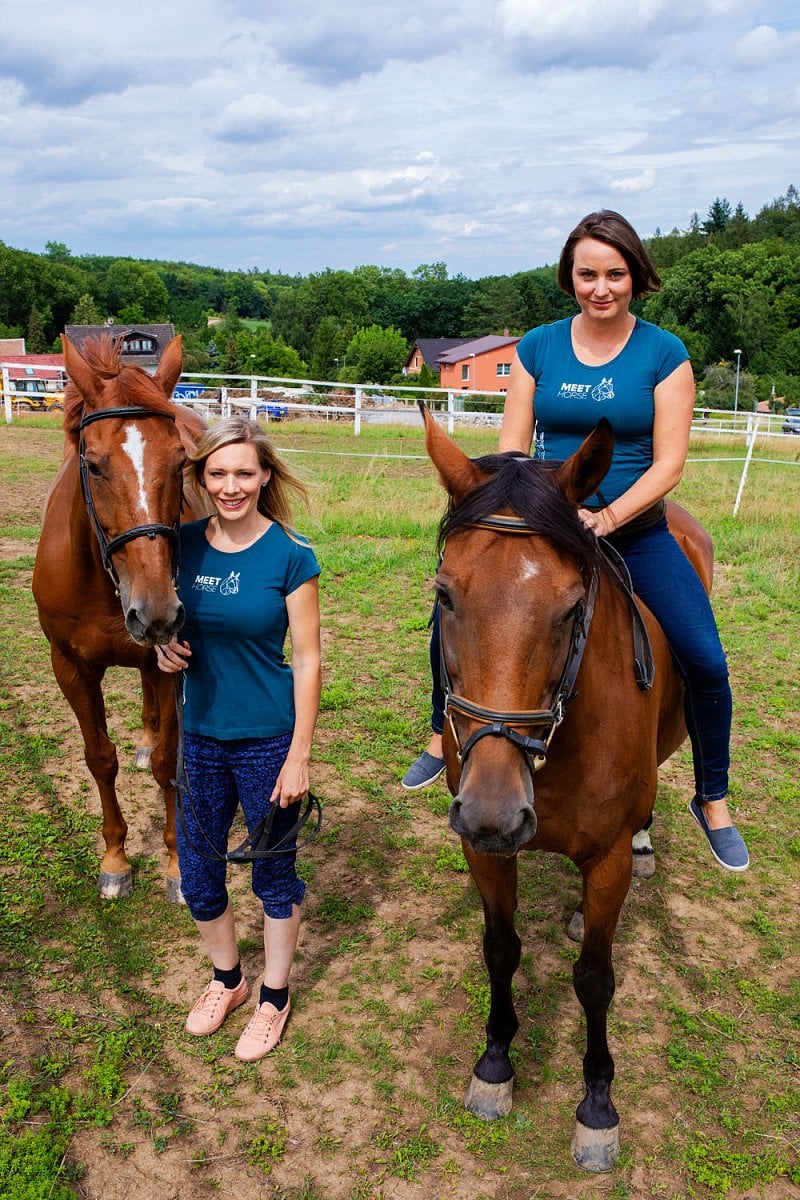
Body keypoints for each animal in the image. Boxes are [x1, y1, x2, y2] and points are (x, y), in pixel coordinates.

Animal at [32, 336, 208, 902]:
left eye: (180, 462)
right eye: (92, 465)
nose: (156, 613)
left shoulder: (166, 659)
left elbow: (168, 763)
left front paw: (176, 866)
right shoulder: (69, 667)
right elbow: (99, 758)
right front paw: (115, 859)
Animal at [422, 403, 714, 1171]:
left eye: (571, 606)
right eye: (444, 595)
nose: (495, 812)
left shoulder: (602, 860)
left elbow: (594, 978)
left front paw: (597, 1106)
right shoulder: (484, 851)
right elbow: (500, 948)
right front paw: (495, 1065)